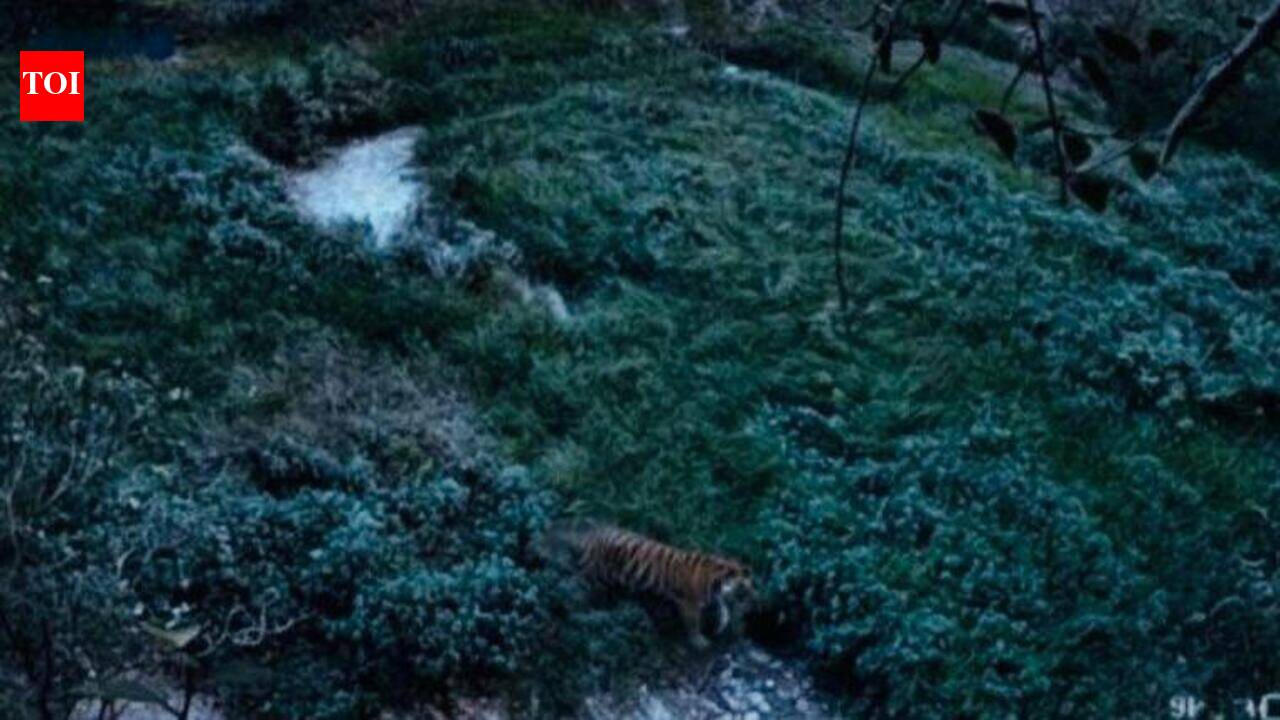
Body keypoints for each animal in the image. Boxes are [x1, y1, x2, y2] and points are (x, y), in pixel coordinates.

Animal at [543, 523, 755, 649]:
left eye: (750, 587)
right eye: (744, 589)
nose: (753, 600)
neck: (716, 582)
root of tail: (592, 534)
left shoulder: (714, 597)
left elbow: (723, 608)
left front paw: (722, 623)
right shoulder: (689, 604)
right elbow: (693, 623)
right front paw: (699, 640)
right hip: (595, 572)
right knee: (582, 579)